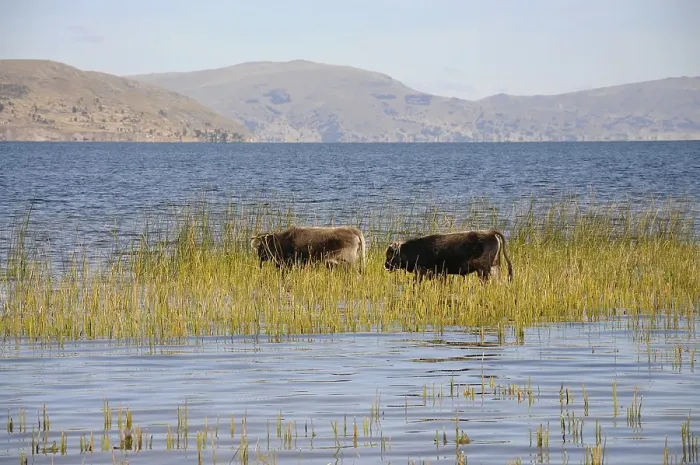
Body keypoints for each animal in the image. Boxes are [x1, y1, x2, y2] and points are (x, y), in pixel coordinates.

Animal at [384, 229, 513, 283]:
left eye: (390, 254)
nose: (386, 265)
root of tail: (490, 232)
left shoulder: (426, 272)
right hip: (492, 267)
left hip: (483, 269)